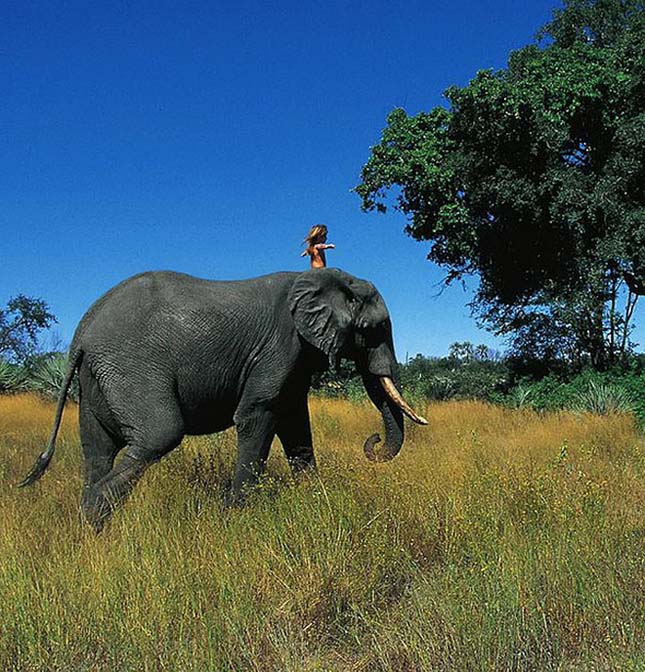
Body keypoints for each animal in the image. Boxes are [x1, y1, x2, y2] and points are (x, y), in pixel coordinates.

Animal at [18, 268, 428, 532]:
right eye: (375, 329)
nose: (372, 442)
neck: (328, 278)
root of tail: (83, 331)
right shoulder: (279, 346)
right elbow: (259, 414)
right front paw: (235, 517)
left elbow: (295, 423)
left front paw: (316, 501)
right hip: (129, 367)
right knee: (159, 435)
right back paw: (95, 518)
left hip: (96, 380)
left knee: (98, 448)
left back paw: (88, 527)